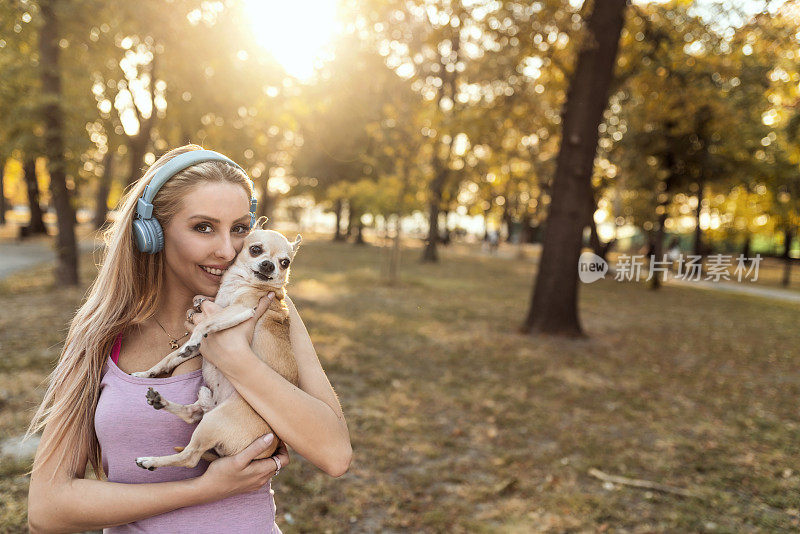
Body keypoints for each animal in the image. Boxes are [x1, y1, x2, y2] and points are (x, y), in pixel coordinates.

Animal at [133, 228, 302, 472]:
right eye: (255, 249)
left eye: (285, 263)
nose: (269, 265)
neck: (238, 283)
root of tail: (267, 451)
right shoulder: (205, 344)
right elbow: (171, 356)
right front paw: (149, 372)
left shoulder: (241, 309)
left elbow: (204, 324)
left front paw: (193, 339)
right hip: (207, 410)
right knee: (192, 415)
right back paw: (160, 401)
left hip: (215, 421)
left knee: (190, 457)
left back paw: (151, 460)